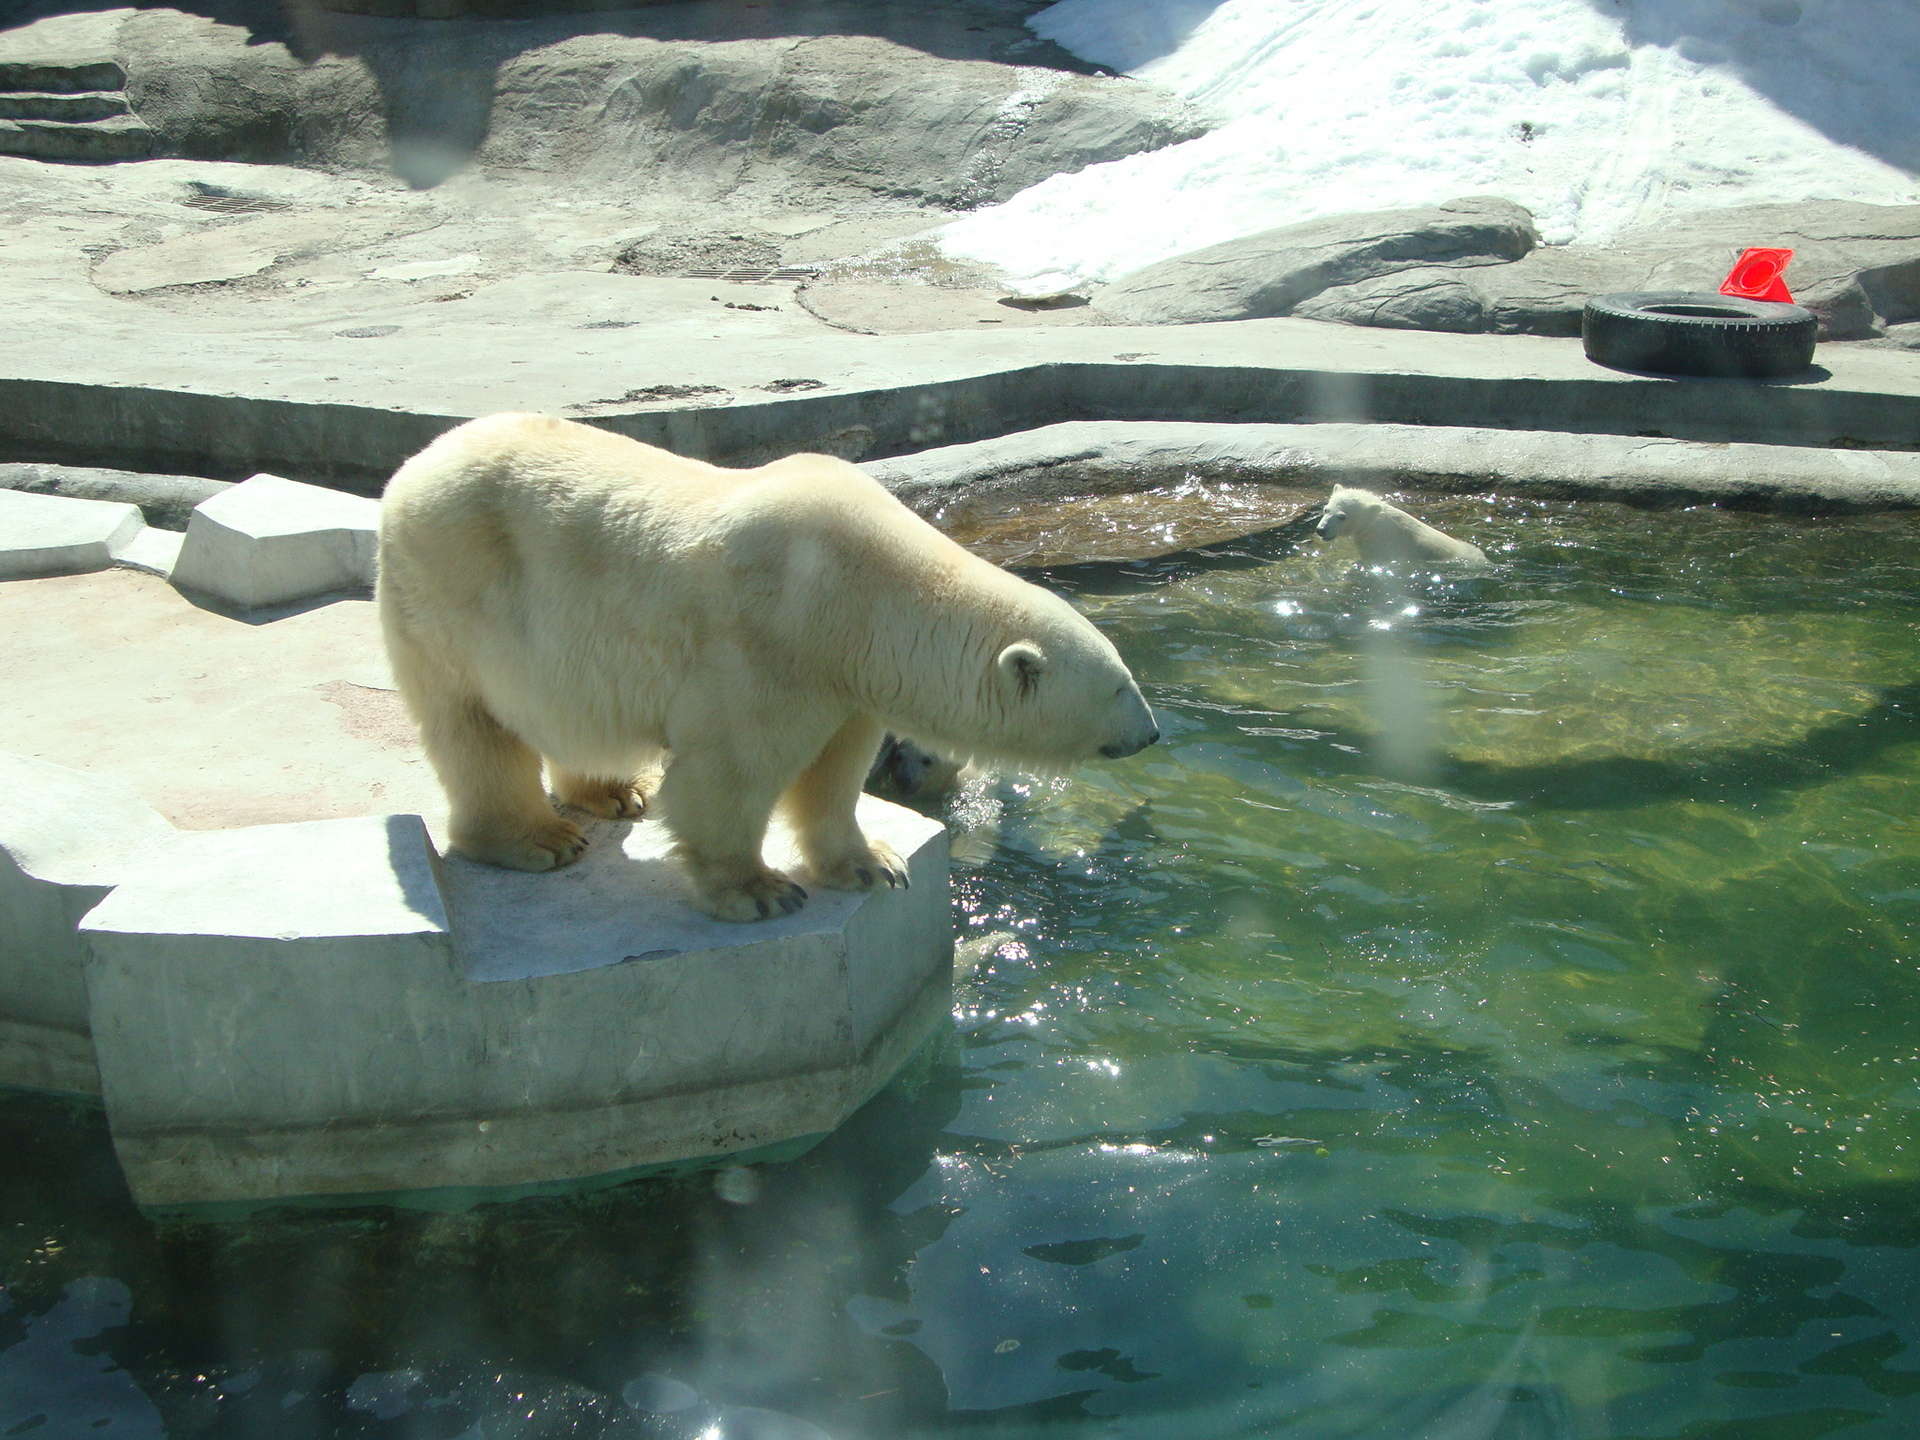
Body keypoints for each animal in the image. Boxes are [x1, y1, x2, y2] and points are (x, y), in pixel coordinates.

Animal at [376, 414, 1159, 922]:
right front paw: (761, 891)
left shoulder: (846, 673)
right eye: (1120, 685)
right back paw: (536, 839)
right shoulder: (769, 643)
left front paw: (875, 864)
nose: (1153, 734)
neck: (868, 591)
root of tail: (414, 468)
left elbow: (834, 772)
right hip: (453, 589)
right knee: (472, 724)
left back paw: (616, 793)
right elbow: (729, 774)